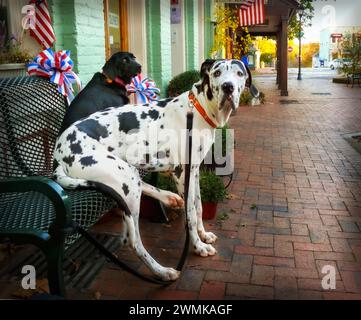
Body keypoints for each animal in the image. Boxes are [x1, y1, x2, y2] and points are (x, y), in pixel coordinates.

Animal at [53, 58, 250, 282]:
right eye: (217, 73)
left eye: (239, 74)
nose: (228, 87)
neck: (198, 109)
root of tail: (59, 152)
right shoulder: (183, 174)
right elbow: (190, 214)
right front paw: (198, 246)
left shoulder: (194, 171)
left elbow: (199, 206)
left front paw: (203, 234)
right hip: (125, 183)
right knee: (133, 241)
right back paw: (162, 271)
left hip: (127, 172)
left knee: (141, 185)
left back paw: (168, 197)